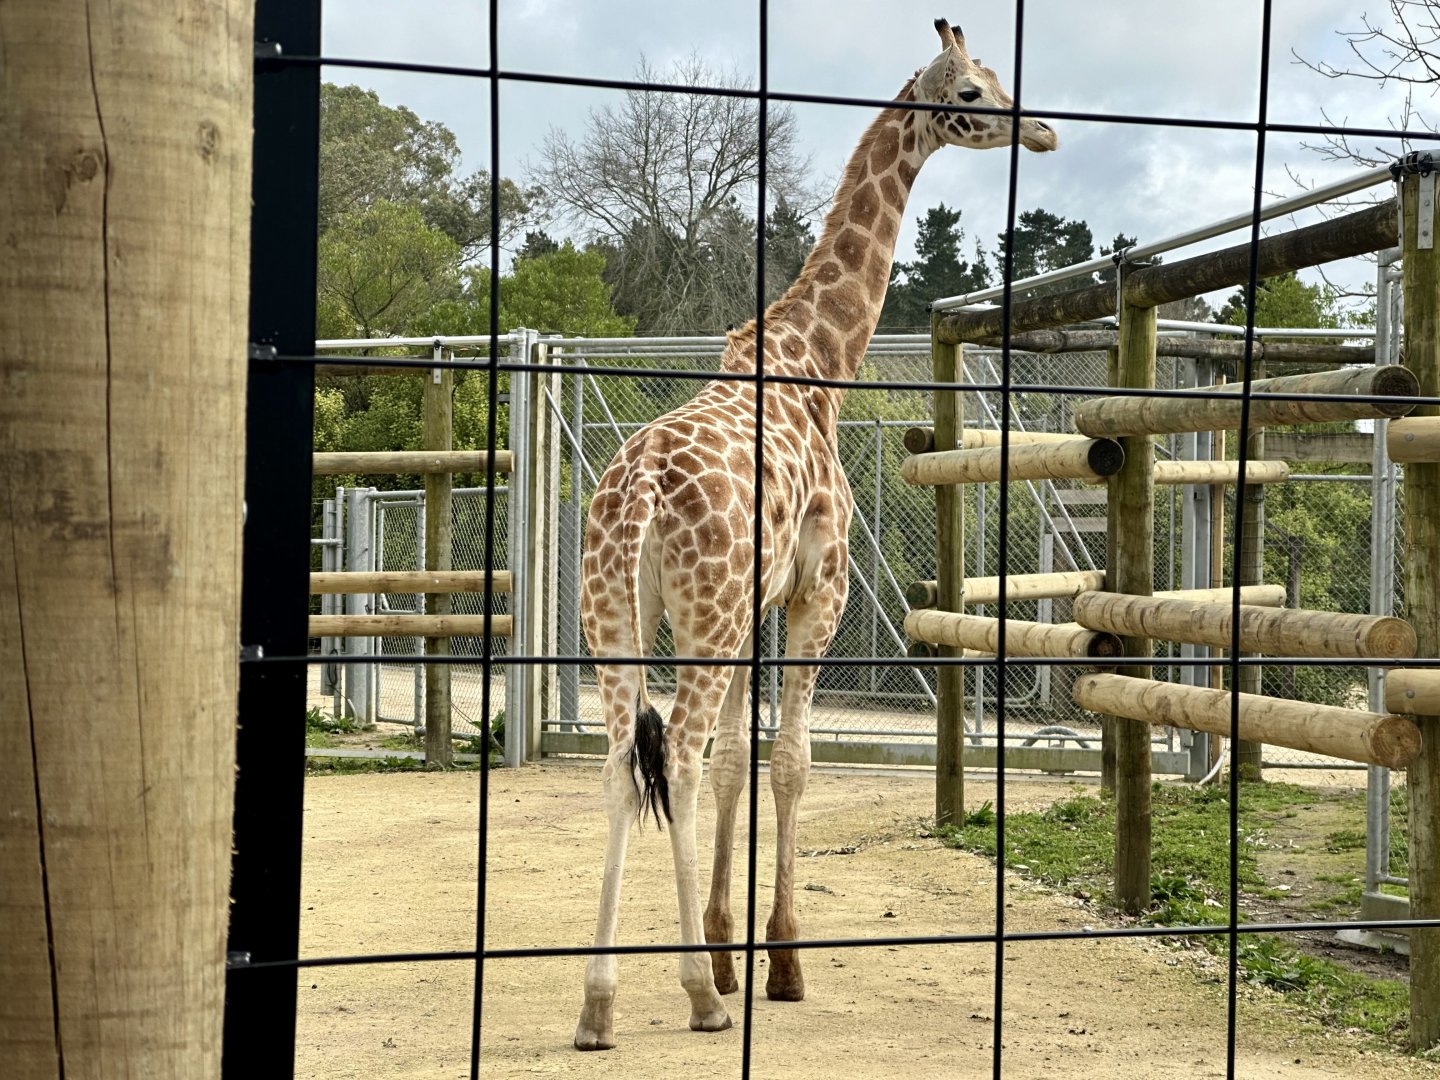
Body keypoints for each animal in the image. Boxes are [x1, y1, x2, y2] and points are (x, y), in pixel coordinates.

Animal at [573, 18, 1058, 1051]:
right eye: (974, 92)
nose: (1040, 130)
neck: (821, 359)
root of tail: (636, 495)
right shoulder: (816, 590)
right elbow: (787, 764)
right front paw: (778, 963)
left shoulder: (758, 603)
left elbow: (738, 765)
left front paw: (729, 945)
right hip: (702, 617)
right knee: (676, 759)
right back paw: (700, 1000)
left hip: (619, 616)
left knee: (623, 766)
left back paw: (598, 1006)